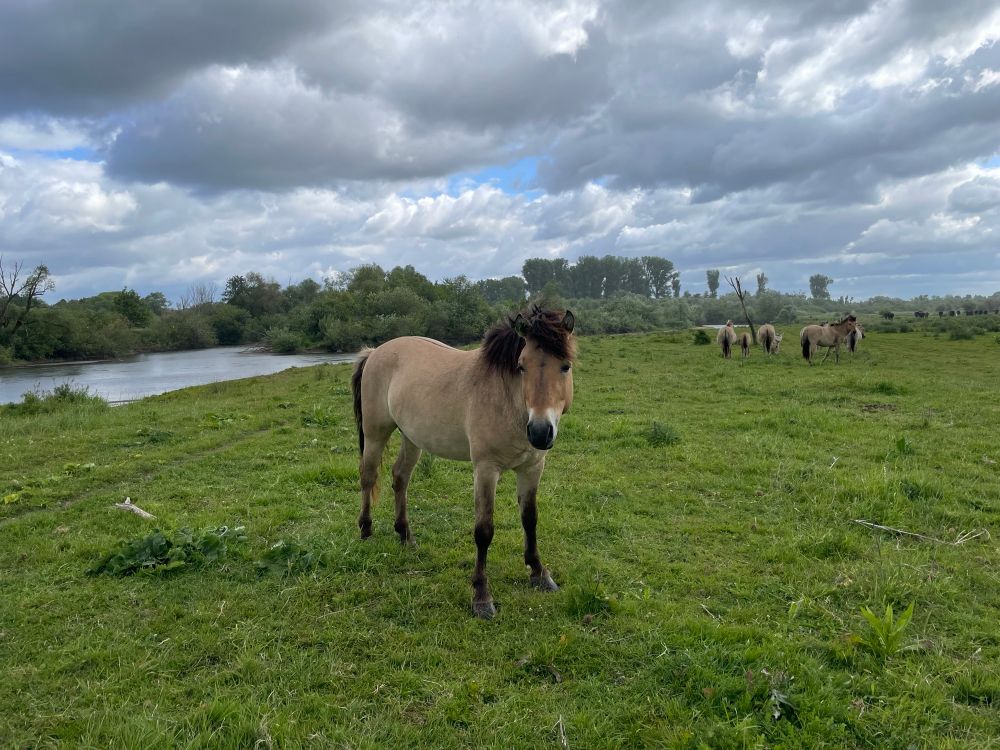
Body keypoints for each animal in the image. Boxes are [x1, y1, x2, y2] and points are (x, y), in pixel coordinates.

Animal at [351, 305, 576, 619]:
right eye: (521, 366)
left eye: (565, 366)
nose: (540, 432)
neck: (506, 401)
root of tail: (374, 352)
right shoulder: (485, 470)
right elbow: (484, 531)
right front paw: (481, 597)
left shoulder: (532, 468)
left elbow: (530, 519)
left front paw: (539, 574)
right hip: (375, 434)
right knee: (369, 476)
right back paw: (366, 530)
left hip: (412, 438)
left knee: (400, 478)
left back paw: (405, 536)